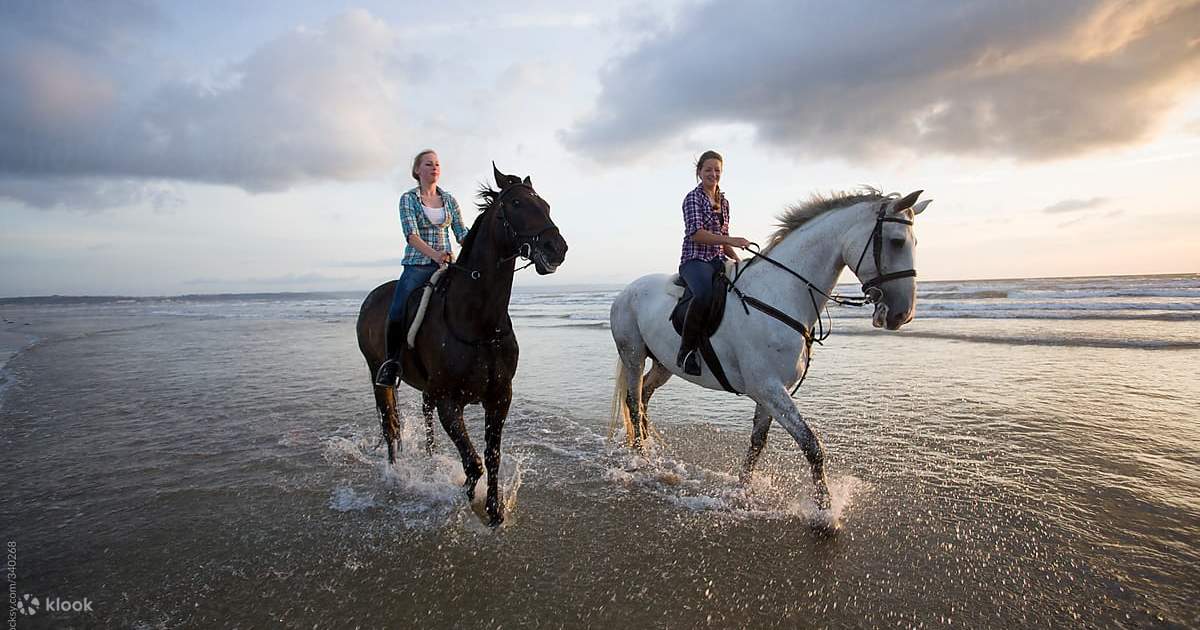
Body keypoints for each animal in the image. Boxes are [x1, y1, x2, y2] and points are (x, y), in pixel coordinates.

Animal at [356, 165, 568, 526]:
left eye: (546, 205)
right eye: (515, 204)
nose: (557, 248)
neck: (478, 322)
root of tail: (371, 297)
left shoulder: (499, 397)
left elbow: (491, 456)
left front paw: (495, 510)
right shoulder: (449, 401)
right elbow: (473, 462)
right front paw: (469, 499)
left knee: (422, 418)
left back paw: (429, 461)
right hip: (377, 375)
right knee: (390, 425)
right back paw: (395, 472)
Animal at [609, 188, 930, 530]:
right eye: (896, 242)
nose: (903, 314)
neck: (782, 293)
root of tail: (625, 292)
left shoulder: (770, 392)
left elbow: (757, 444)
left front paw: (742, 491)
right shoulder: (769, 389)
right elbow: (812, 445)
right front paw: (825, 513)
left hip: (664, 364)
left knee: (644, 395)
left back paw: (649, 451)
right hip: (633, 355)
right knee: (633, 401)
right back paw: (641, 458)